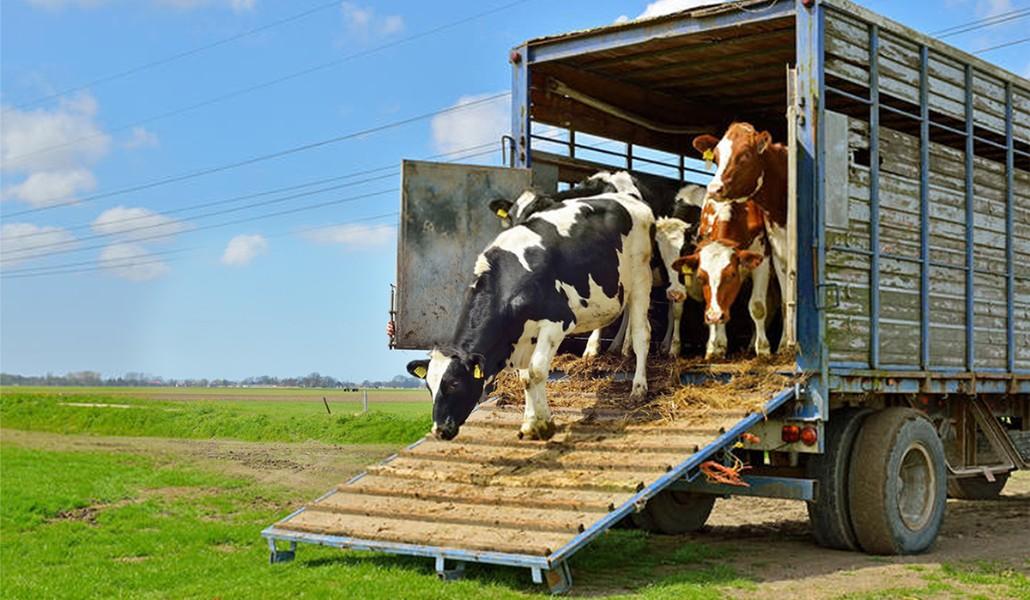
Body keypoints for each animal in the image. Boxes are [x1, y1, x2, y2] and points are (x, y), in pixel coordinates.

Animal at [407, 171, 654, 441]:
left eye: (454, 383)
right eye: (429, 386)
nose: (439, 430)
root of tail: (629, 199)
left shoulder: (557, 320)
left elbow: (536, 372)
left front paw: (544, 425)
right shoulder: (524, 336)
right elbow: (525, 377)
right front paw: (530, 422)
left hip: (641, 277)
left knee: (642, 333)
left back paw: (639, 386)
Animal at [672, 197, 772, 359]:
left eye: (731, 274)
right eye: (700, 277)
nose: (714, 316)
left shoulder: (763, 260)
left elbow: (757, 307)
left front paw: (763, 349)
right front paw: (714, 346)